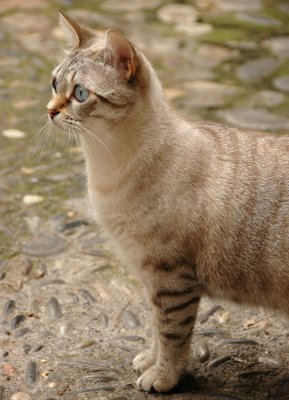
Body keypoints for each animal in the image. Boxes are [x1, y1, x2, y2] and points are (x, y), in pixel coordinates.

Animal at [47, 10, 288, 392]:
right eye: (55, 84)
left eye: (81, 94)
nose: (49, 111)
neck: (105, 165)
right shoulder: (149, 275)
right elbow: (156, 327)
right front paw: (150, 360)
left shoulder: (171, 277)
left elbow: (173, 334)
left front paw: (163, 377)